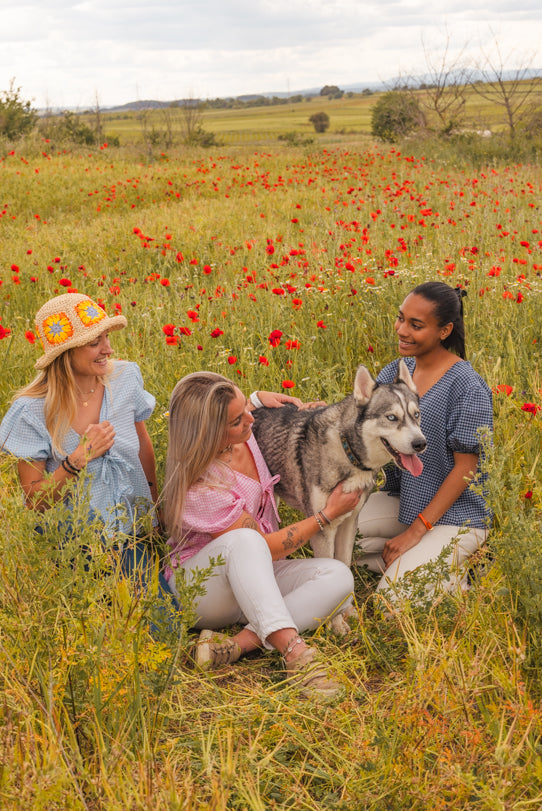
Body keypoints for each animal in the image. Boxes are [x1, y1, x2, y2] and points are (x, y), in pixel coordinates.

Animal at [253, 358, 428, 568]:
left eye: (416, 415)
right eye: (392, 417)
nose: (420, 444)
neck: (348, 451)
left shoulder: (349, 522)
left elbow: (344, 564)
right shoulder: (322, 528)